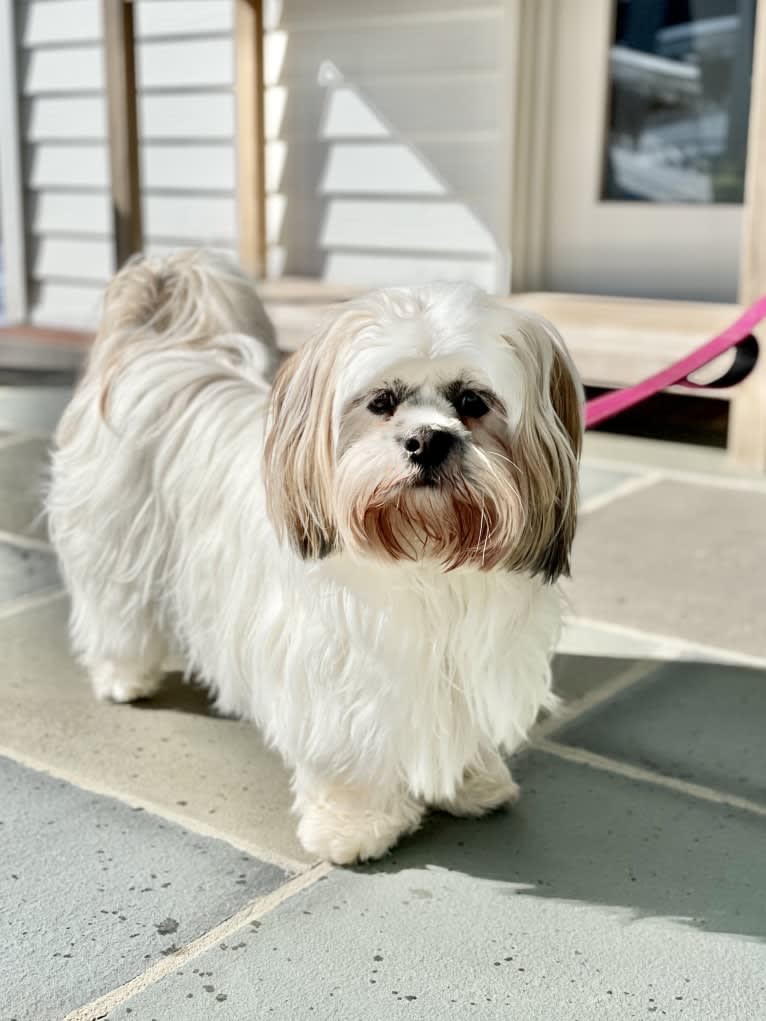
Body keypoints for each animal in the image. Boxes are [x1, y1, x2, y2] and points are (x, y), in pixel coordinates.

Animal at [48, 247, 584, 861]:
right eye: (381, 401)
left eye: (472, 401)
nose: (427, 440)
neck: (423, 556)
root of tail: (151, 349)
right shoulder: (336, 671)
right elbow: (347, 752)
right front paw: (353, 825)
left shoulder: (466, 658)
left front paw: (472, 781)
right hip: (114, 539)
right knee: (115, 608)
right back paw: (123, 676)